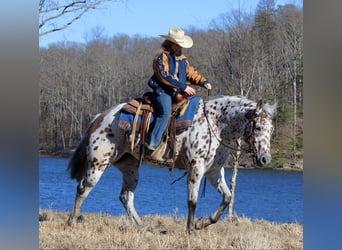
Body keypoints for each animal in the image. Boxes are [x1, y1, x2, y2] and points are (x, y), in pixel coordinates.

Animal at [66, 94, 276, 232]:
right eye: (258, 127)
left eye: (271, 129)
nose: (265, 159)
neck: (215, 124)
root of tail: (101, 117)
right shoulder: (196, 169)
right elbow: (192, 201)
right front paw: (190, 230)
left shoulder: (214, 172)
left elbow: (227, 198)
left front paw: (202, 223)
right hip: (98, 164)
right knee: (83, 188)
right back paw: (72, 221)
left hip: (130, 168)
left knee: (126, 197)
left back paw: (141, 227)